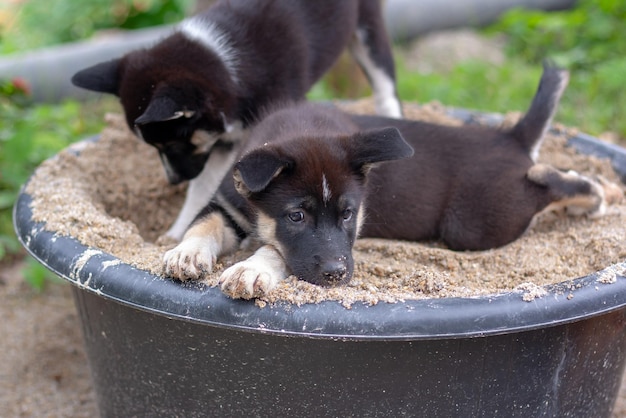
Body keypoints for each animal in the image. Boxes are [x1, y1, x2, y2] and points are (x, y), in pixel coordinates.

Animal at [69, 0, 400, 242]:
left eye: (173, 143)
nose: (173, 181)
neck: (225, 64)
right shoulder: (224, 138)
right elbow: (204, 185)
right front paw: (179, 229)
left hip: (367, 29)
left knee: (386, 88)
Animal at [163, 63, 616, 298]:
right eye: (295, 216)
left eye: (349, 215)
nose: (337, 275)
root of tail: (509, 136)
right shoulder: (228, 205)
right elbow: (202, 224)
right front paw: (186, 253)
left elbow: (276, 250)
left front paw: (250, 270)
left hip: (472, 224)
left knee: (548, 183)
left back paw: (595, 195)